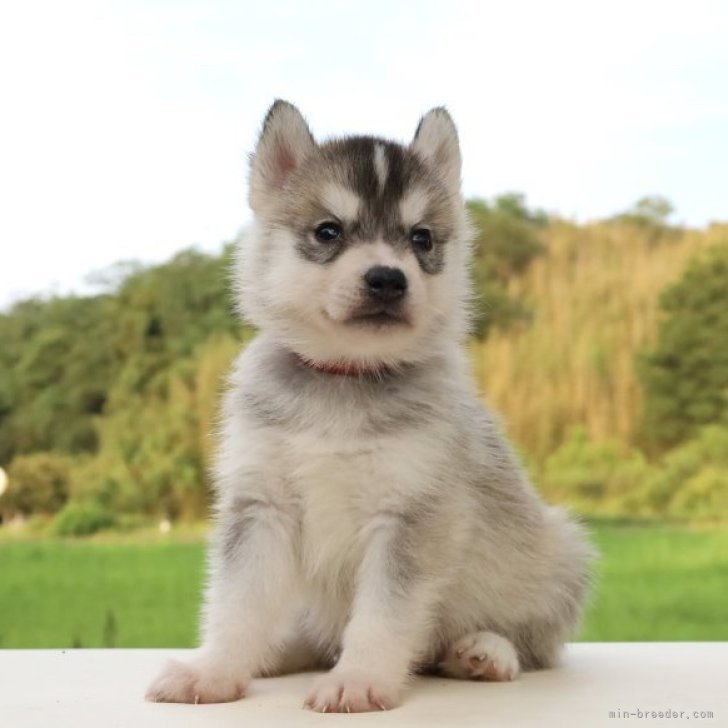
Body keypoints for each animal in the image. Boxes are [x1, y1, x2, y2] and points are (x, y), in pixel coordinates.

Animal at [145, 101, 596, 712]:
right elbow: (237, 603)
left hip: (558, 553)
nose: (387, 278)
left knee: (534, 645)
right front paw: (215, 671)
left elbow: (383, 616)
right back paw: (278, 652)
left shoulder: (409, 516)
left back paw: (484, 651)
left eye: (421, 238)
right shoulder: (261, 506)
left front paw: (359, 679)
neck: (345, 378)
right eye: (328, 231)